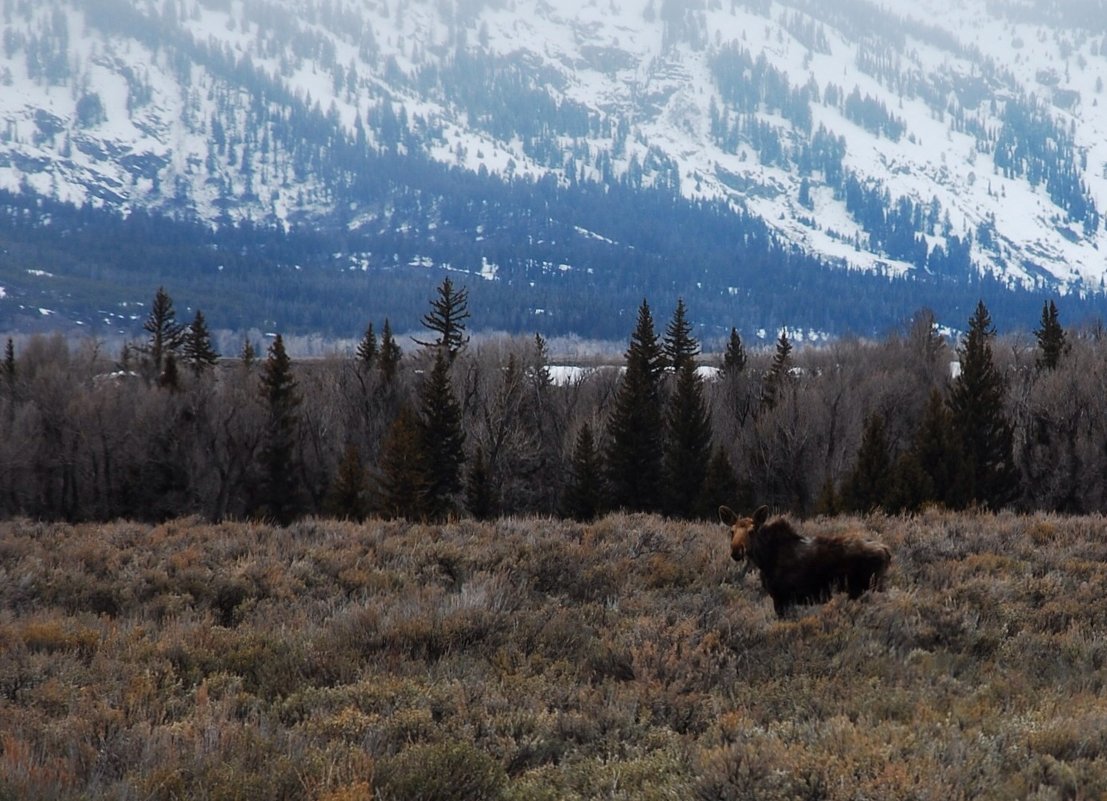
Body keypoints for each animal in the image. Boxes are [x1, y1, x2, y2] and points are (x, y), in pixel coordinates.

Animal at [717, 504, 890, 615]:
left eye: (752, 531)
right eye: (731, 531)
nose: (736, 551)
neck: (765, 560)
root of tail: (886, 551)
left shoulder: (783, 598)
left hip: (869, 588)